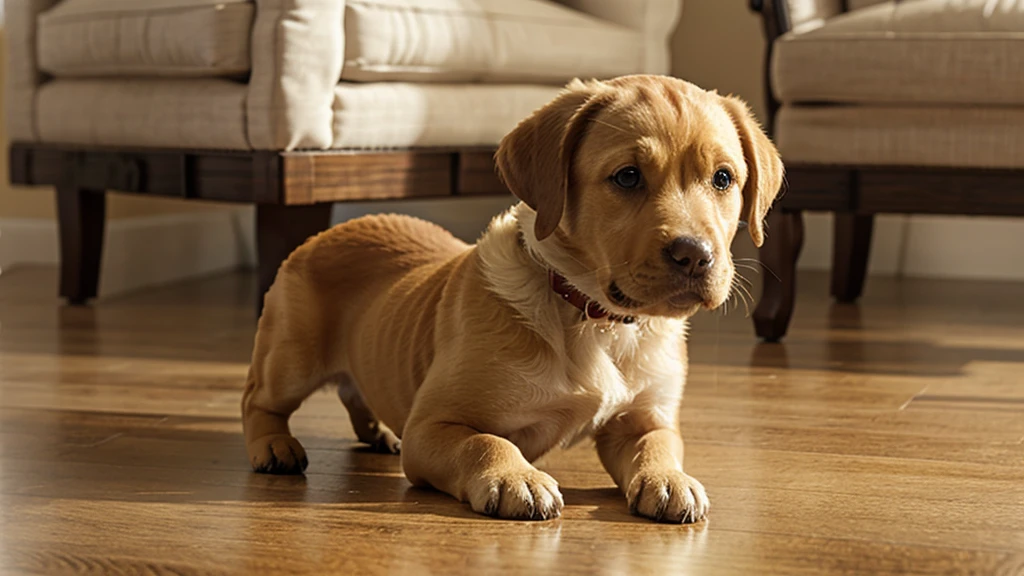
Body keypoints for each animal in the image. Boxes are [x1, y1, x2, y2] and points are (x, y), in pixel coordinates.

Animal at [241, 75, 782, 520]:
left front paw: (670, 480)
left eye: (723, 178)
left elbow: (660, 445)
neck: (593, 318)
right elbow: (485, 443)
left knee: (357, 392)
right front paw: (515, 477)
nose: (695, 256)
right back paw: (274, 446)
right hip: (291, 356)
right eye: (627, 176)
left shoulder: (645, 418)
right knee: (257, 400)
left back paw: (380, 432)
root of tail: (327, 232)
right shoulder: (433, 426)